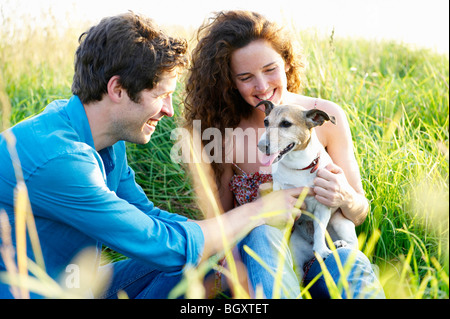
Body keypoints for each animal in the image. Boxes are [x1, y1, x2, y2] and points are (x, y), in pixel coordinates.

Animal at [256, 100, 358, 280]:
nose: (261, 146)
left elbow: (319, 231)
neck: (298, 167)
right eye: (266, 122)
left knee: (355, 245)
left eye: (286, 124)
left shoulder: (322, 206)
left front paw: (322, 250)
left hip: (340, 222)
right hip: (297, 249)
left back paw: (340, 243)